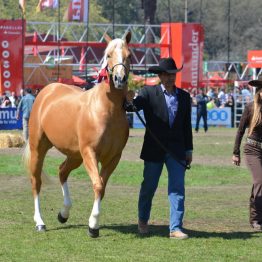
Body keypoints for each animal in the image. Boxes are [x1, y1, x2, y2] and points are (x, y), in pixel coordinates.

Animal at [23, 31, 132, 237]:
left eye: (129, 56)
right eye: (108, 55)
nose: (119, 79)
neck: (107, 110)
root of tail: (47, 90)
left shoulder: (113, 157)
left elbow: (102, 188)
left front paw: (93, 223)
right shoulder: (90, 152)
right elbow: (98, 185)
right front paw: (93, 226)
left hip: (75, 155)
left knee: (62, 171)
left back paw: (63, 213)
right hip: (39, 149)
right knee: (36, 182)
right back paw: (39, 222)